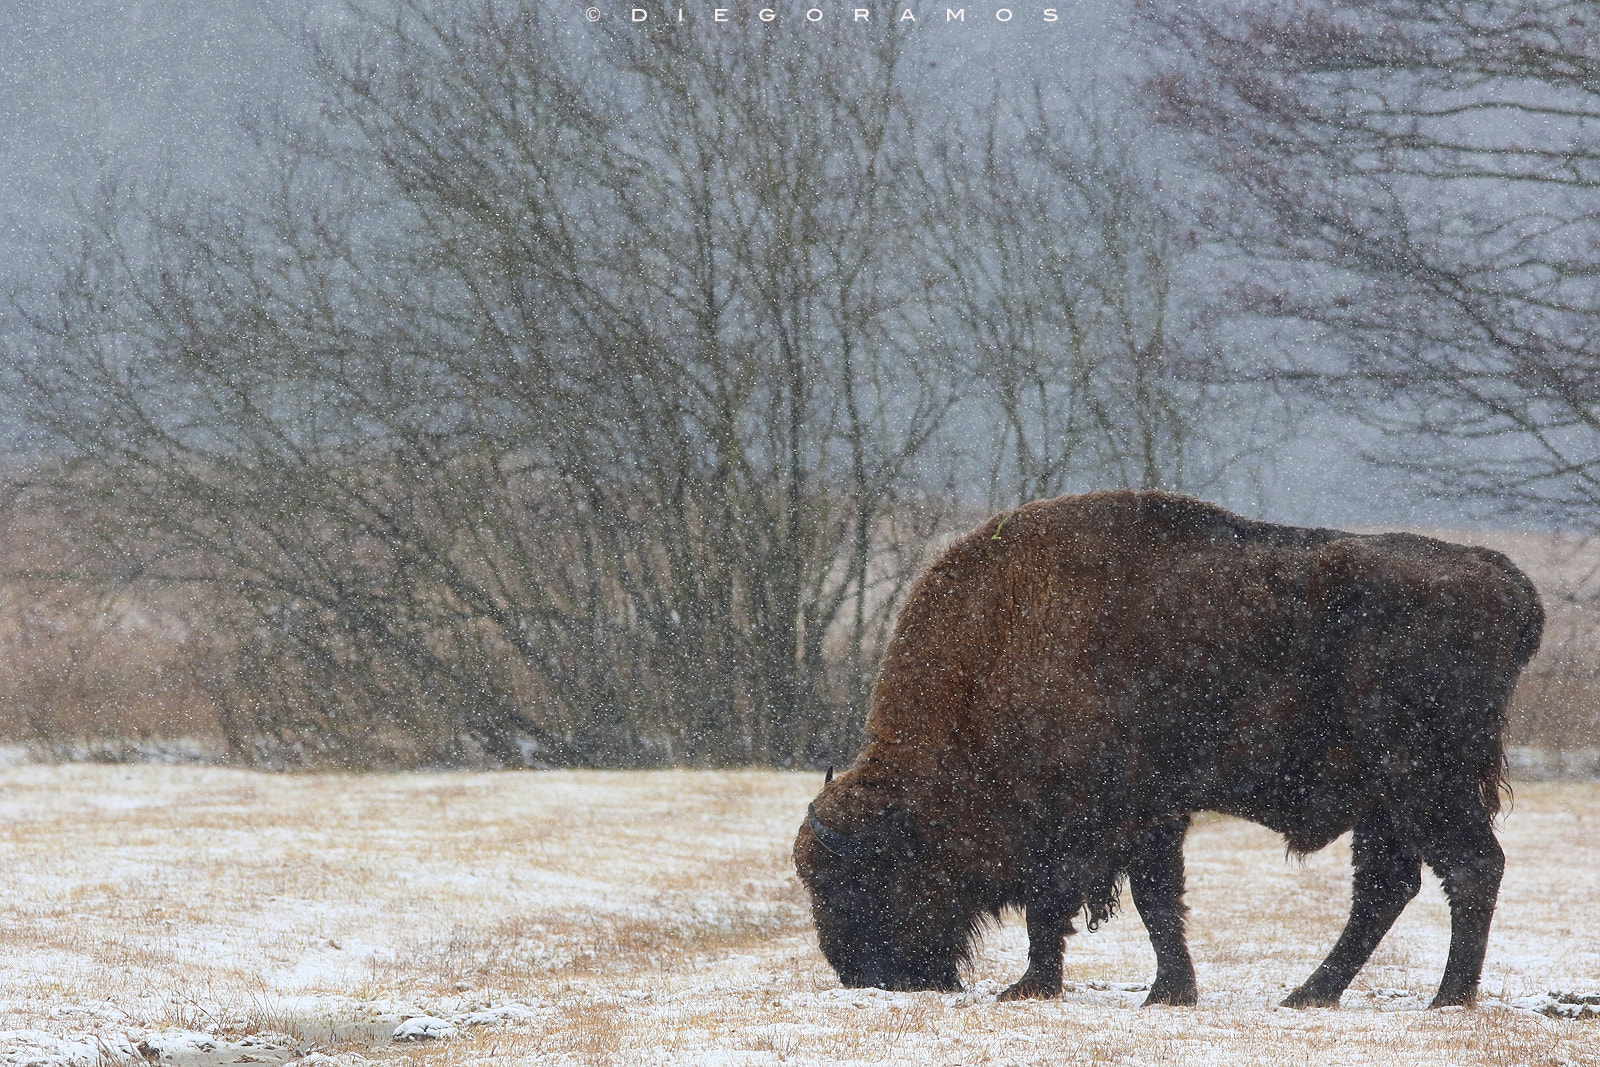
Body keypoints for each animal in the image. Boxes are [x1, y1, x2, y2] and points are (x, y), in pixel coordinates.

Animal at [793, 492, 1542, 1011]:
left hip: (1425, 781)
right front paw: (1168, 990)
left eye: (851, 879)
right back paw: (1310, 994)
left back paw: (1446, 998)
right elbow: (1155, 898)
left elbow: (1066, 901)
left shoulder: (1090, 818)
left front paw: (1031, 986)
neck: (1001, 644)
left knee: (1470, 868)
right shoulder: (1152, 813)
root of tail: (1506, 581)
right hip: (1385, 800)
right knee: (1388, 888)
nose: (862, 977)